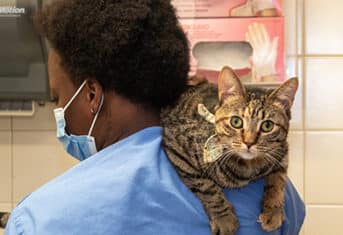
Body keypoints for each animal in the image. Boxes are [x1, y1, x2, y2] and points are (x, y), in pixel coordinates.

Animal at [161, 66, 298, 235]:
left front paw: (273, 210)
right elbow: (207, 187)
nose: (249, 142)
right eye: (236, 122)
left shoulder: (282, 151)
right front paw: (224, 219)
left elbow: (278, 180)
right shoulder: (177, 147)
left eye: (267, 126)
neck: (249, 168)